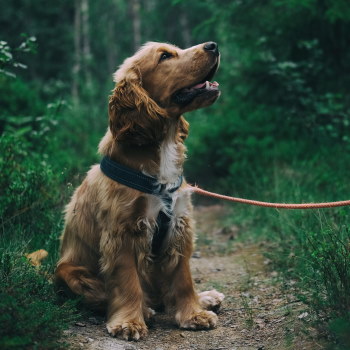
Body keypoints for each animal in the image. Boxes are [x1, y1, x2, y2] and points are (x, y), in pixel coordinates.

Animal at [54, 40, 224, 340]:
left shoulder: (179, 225)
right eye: (165, 56)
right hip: (69, 272)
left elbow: (183, 278)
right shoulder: (123, 232)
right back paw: (145, 309)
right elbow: (127, 281)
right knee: (105, 295)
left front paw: (194, 313)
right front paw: (129, 322)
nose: (213, 45)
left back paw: (205, 298)